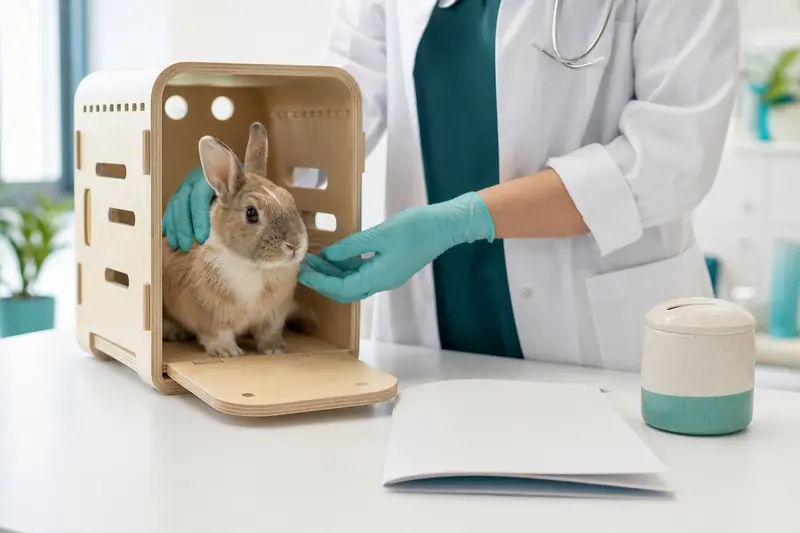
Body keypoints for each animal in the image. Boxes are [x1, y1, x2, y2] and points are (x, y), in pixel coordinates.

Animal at [161, 121, 310, 357]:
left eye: (290, 200)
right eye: (251, 214)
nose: (294, 244)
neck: (256, 268)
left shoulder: (274, 316)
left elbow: (269, 333)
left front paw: (275, 350)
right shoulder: (212, 316)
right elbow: (217, 334)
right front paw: (229, 353)